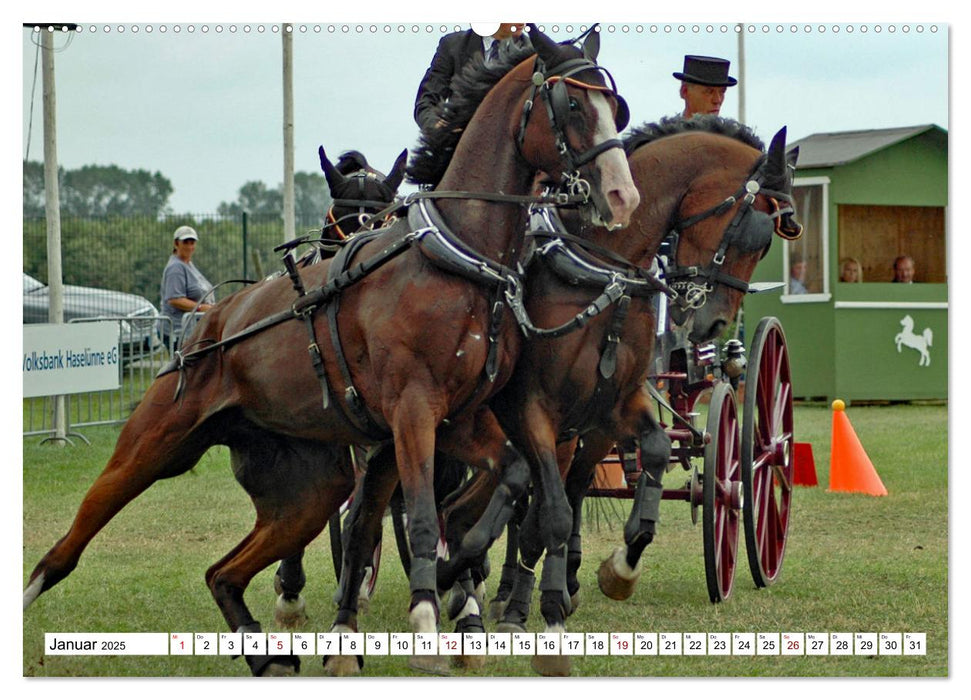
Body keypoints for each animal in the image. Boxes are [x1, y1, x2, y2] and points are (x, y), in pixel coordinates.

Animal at [20, 27, 636, 680]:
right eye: (573, 106)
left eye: (614, 108)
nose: (620, 194)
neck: (457, 259)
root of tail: (205, 328)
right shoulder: (413, 411)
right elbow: (422, 514)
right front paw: (427, 615)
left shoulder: (459, 420)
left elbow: (505, 479)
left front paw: (457, 573)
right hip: (150, 448)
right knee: (73, 540)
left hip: (306, 493)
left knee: (225, 572)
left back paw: (268, 652)